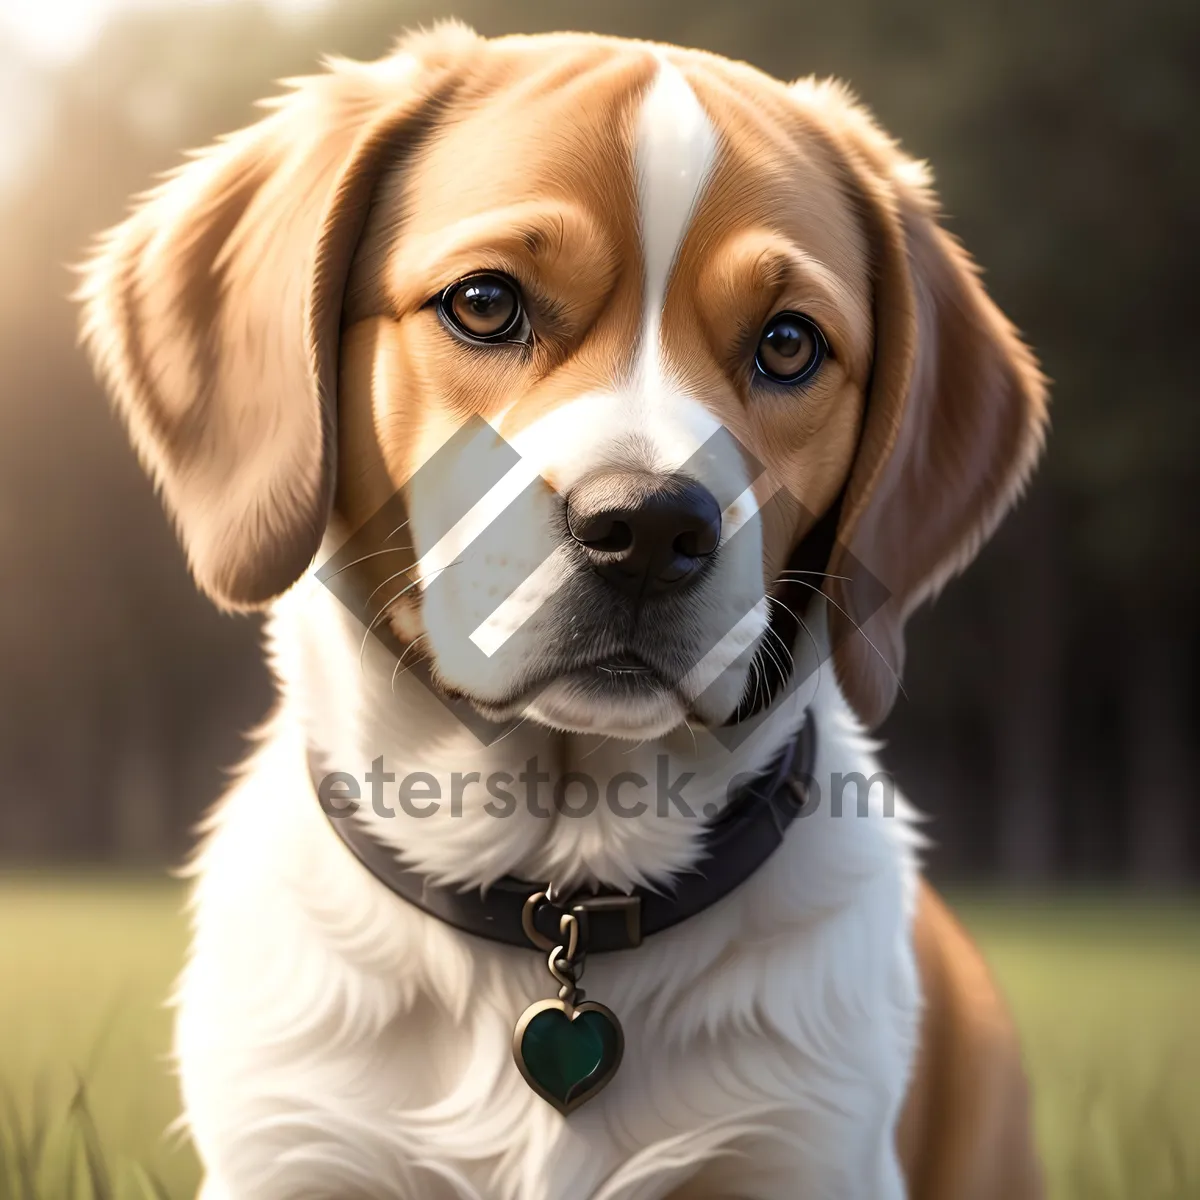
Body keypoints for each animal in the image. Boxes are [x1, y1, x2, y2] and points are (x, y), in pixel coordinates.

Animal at [79, 21, 1046, 1200]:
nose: (649, 529)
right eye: (485, 302)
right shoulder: (296, 1156)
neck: (562, 894)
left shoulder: (803, 1159)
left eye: (789, 344)